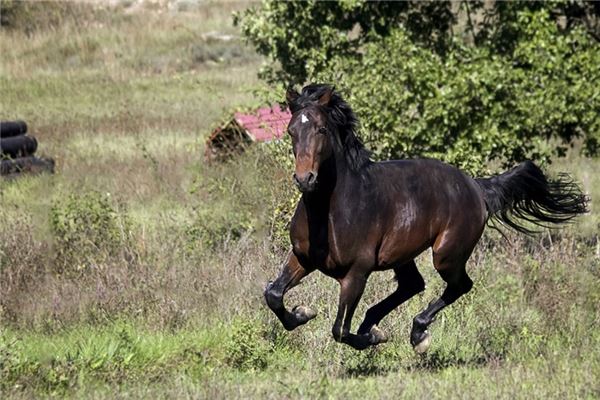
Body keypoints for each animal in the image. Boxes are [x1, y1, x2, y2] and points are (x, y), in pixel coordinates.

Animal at [264, 83, 588, 352]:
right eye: (291, 131)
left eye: (321, 129)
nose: (305, 179)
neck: (333, 210)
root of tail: (475, 186)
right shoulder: (303, 258)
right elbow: (274, 294)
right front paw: (302, 314)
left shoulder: (356, 272)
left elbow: (340, 330)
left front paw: (371, 338)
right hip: (403, 254)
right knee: (413, 285)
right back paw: (377, 325)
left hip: (446, 254)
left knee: (458, 286)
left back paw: (417, 334)